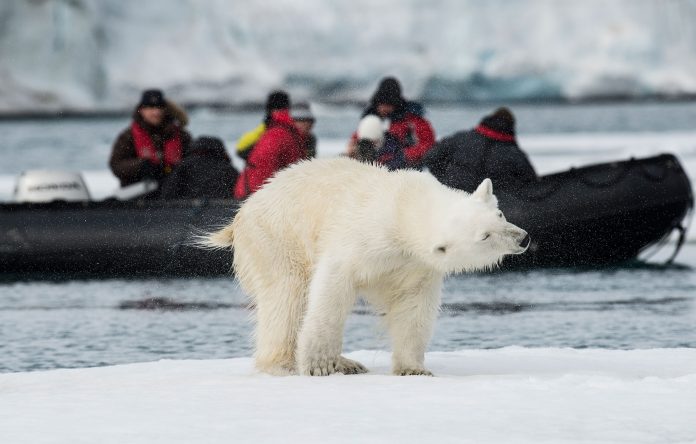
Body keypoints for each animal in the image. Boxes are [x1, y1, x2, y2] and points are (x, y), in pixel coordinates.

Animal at [205, 157, 529, 376]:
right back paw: (286, 364)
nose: (523, 238)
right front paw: (319, 364)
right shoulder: (362, 239)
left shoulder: (414, 264)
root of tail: (241, 213)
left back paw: (348, 363)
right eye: (484, 236)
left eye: (499, 214)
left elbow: (414, 308)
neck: (403, 208)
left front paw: (413, 369)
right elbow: (331, 290)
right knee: (287, 296)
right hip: (276, 238)